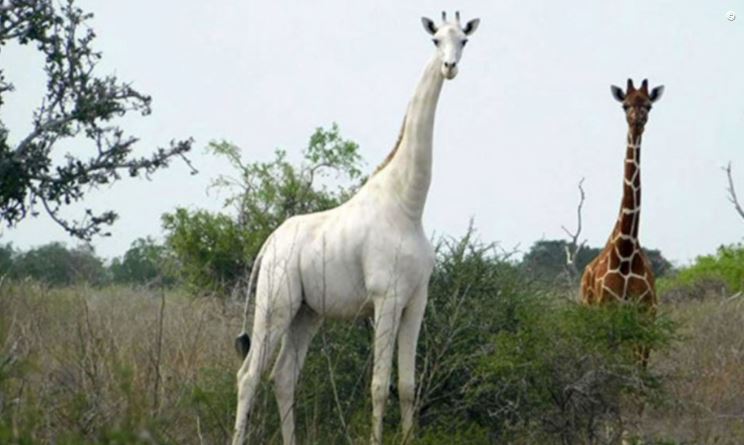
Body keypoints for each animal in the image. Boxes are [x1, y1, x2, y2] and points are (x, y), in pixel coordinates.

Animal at [230, 11, 480, 444]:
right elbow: (380, 385)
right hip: (275, 304)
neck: (408, 205)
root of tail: (268, 244)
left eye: (463, 40)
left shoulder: (417, 300)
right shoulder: (386, 298)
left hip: (307, 312)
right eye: (436, 40)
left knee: (283, 376)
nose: (450, 67)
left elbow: (408, 386)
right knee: (249, 376)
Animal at [580, 78, 664, 360]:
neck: (626, 249)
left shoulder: (646, 314)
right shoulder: (608, 310)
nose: (637, 120)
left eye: (648, 104)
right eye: (625, 105)